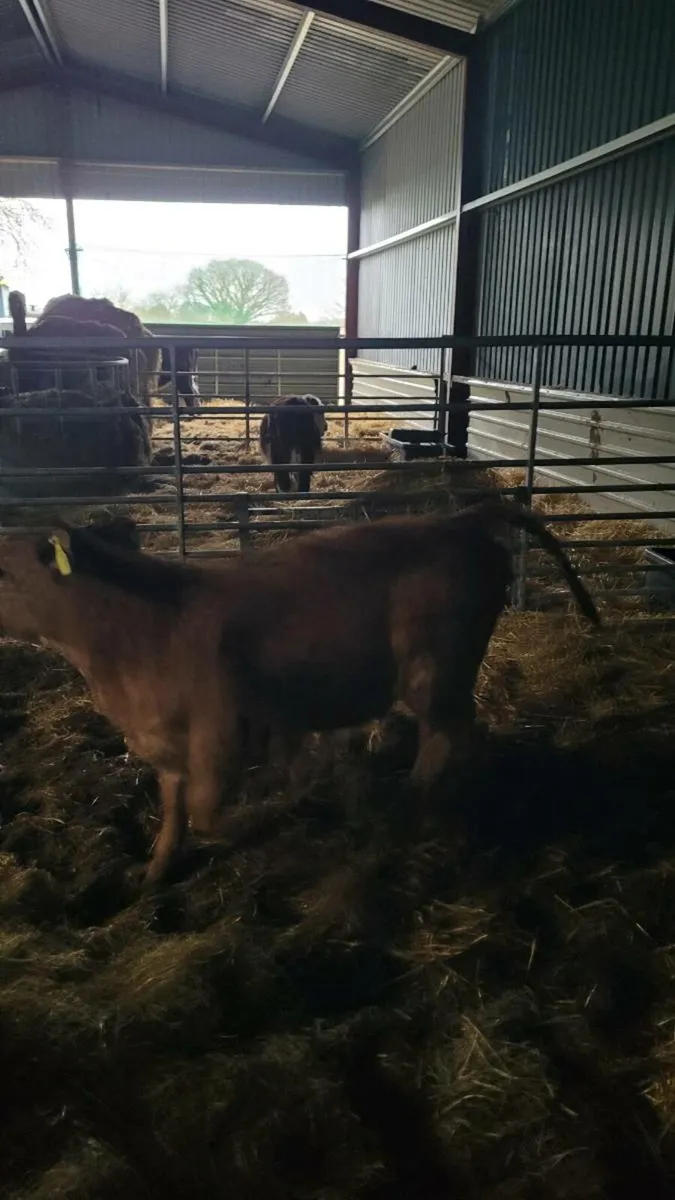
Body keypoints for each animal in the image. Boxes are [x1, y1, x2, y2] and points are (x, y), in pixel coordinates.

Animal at [0, 498, 598, 885]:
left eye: (4, 570)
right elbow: (172, 814)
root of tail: (456, 521)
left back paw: (409, 807)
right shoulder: (164, 744)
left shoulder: (220, 734)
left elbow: (207, 814)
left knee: (445, 735)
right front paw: (153, 874)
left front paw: (273, 817)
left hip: (436, 671)